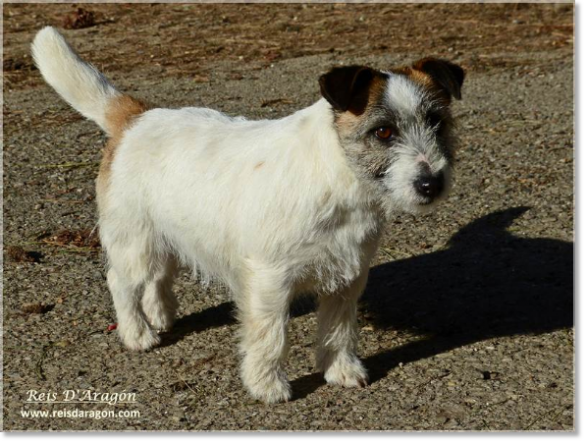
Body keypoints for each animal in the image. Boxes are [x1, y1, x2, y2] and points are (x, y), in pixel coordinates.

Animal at [32, 26, 464, 404]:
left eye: (436, 122)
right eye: (383, 132)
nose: (431, 183)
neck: (338, 177)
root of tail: (136, 117)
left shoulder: (346, 279)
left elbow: (339, 331)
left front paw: (340, 370)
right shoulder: (270, 283)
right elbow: (270, 338)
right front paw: (267, 386)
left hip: (168, 235)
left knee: (159, 277)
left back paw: (162, 314)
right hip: (134, 244)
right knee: (121, 283)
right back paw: (136, 332)